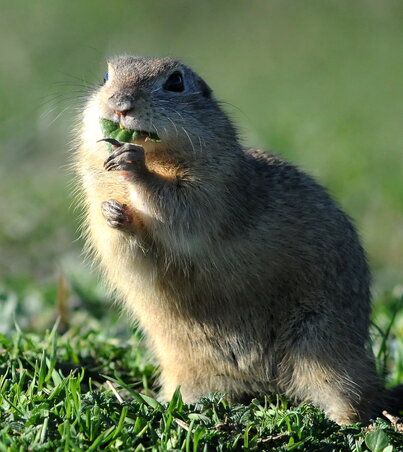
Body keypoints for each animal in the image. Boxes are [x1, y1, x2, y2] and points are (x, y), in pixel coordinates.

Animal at [76, 54, 386, 426]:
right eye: (105, 76)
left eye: (176, 81)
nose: (119, 106)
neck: (158, 155)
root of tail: (267, 384)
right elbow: (127, 253)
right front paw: (113, 214)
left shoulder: (216, 185)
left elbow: (183, 207)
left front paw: (132, 163)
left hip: (325, 346)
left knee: (354, 393)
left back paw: (350, 423)